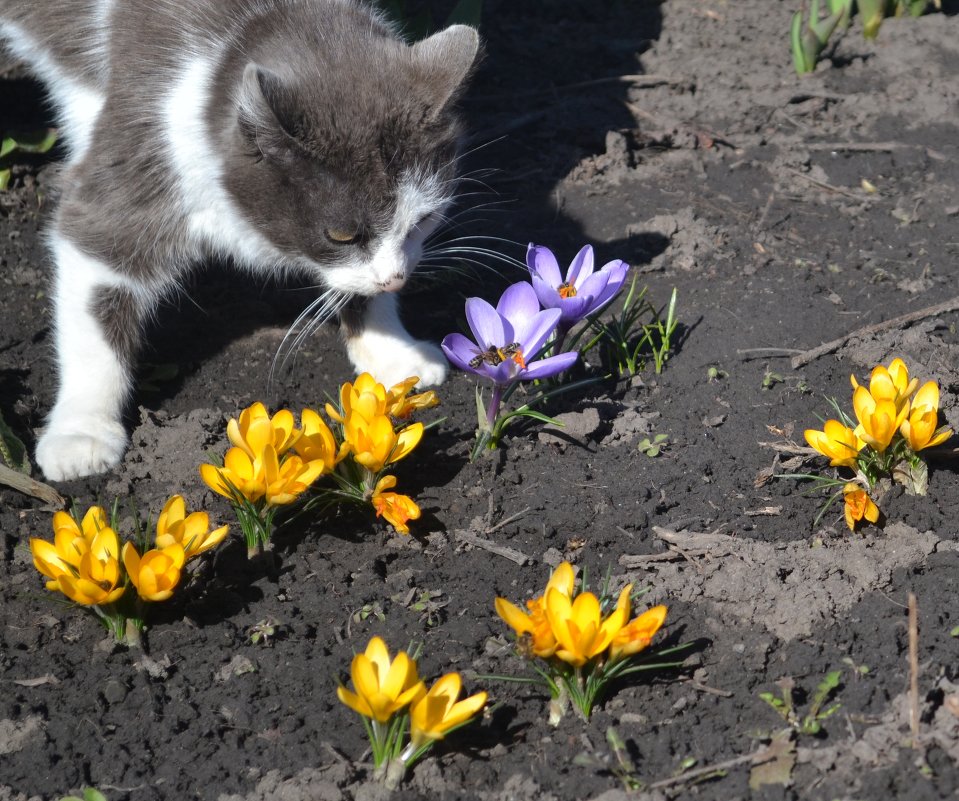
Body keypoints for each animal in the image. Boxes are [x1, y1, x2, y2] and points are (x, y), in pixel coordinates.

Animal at [0, 1, 480, 482]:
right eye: (341, 234)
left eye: (424, 219)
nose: (397, 280)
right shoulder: (145, 145)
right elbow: (95, 262)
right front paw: (81, 432)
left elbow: (357, 281)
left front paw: (393, 351)